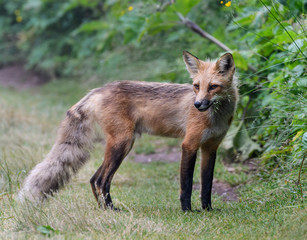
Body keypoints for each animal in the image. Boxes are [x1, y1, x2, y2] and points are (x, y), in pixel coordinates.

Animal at [19, 51, 239, 211]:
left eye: (213, 87)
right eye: (196, 86)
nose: (197, 104)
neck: (216, 117)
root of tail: (98, 90)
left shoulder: (210, 148)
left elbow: (207, 185)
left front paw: (207, 210)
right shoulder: (189, 144)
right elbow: (186, 185)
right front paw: (187, 211)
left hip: (121, 145)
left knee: (94, 179)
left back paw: (103, 210)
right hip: (122, 143)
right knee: (102, 180)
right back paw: (112, 210)